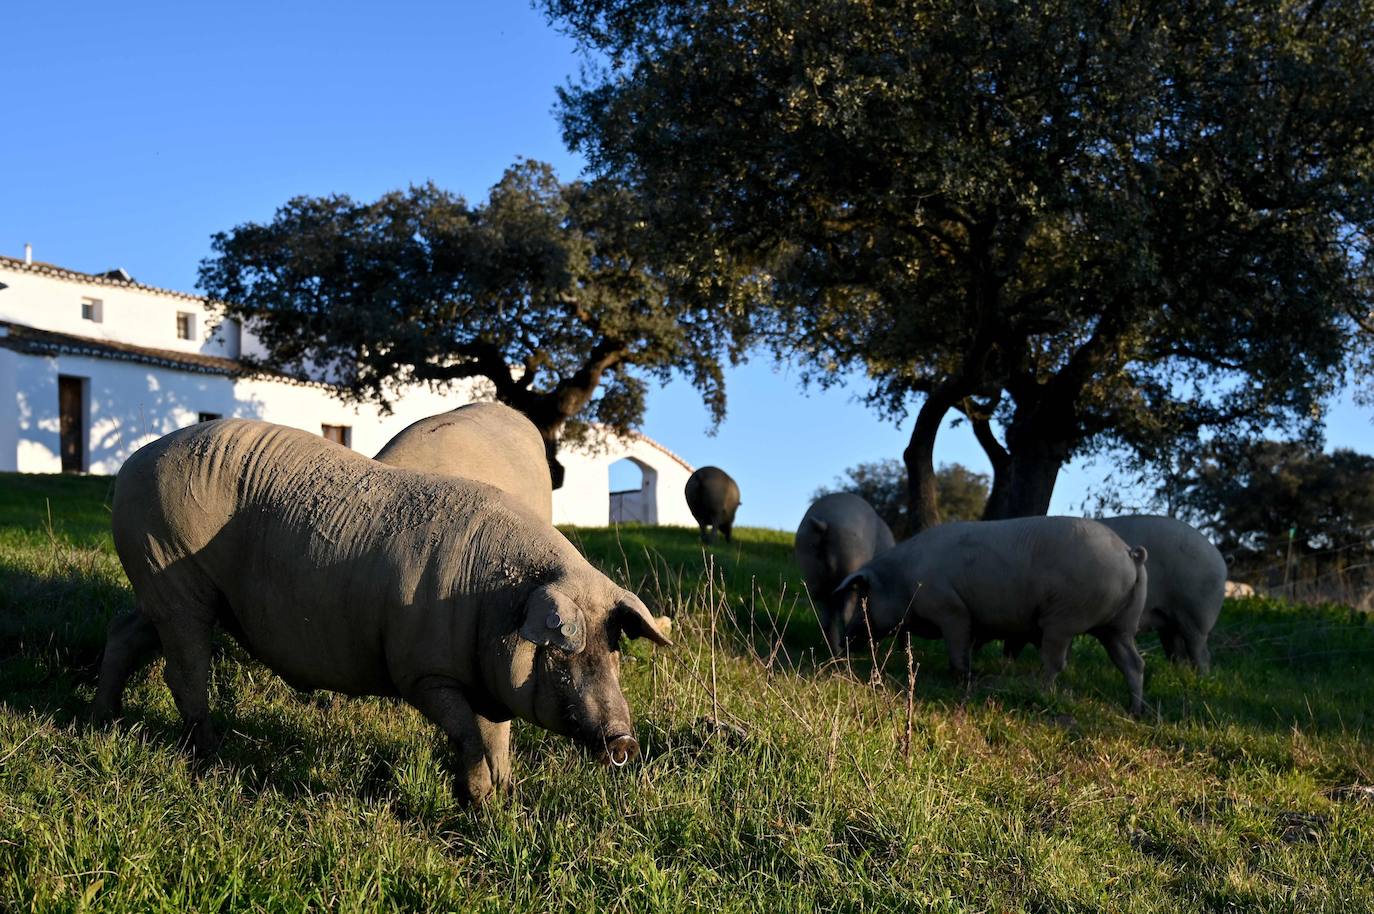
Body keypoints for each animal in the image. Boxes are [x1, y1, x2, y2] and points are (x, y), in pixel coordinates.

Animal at [90, 419, 670, 804]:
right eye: (565, 653)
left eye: (614, 652)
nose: (625, 741)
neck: (492, 605)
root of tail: (132, 463)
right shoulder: (421, 672)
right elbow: (468, 736)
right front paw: (477, 802)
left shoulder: (489, 683)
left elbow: (498, 738)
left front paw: (503, 802)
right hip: (173, 569)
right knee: (184, 667)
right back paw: (209, 756)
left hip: (164, 586)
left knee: (124, 632)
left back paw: (103, 720)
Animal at [832, 516, 1149, 714]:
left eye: (863, 598)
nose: (846, 639)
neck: (904, 579)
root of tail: (1130, 553)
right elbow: (968, 648)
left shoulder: (951, 609)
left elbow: (958, 648)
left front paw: (961, 680)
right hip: (1121, 625)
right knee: (1133, 663)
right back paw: (1134, 710)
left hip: (1065, 618)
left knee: (1056, 662)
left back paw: (1038, 689)